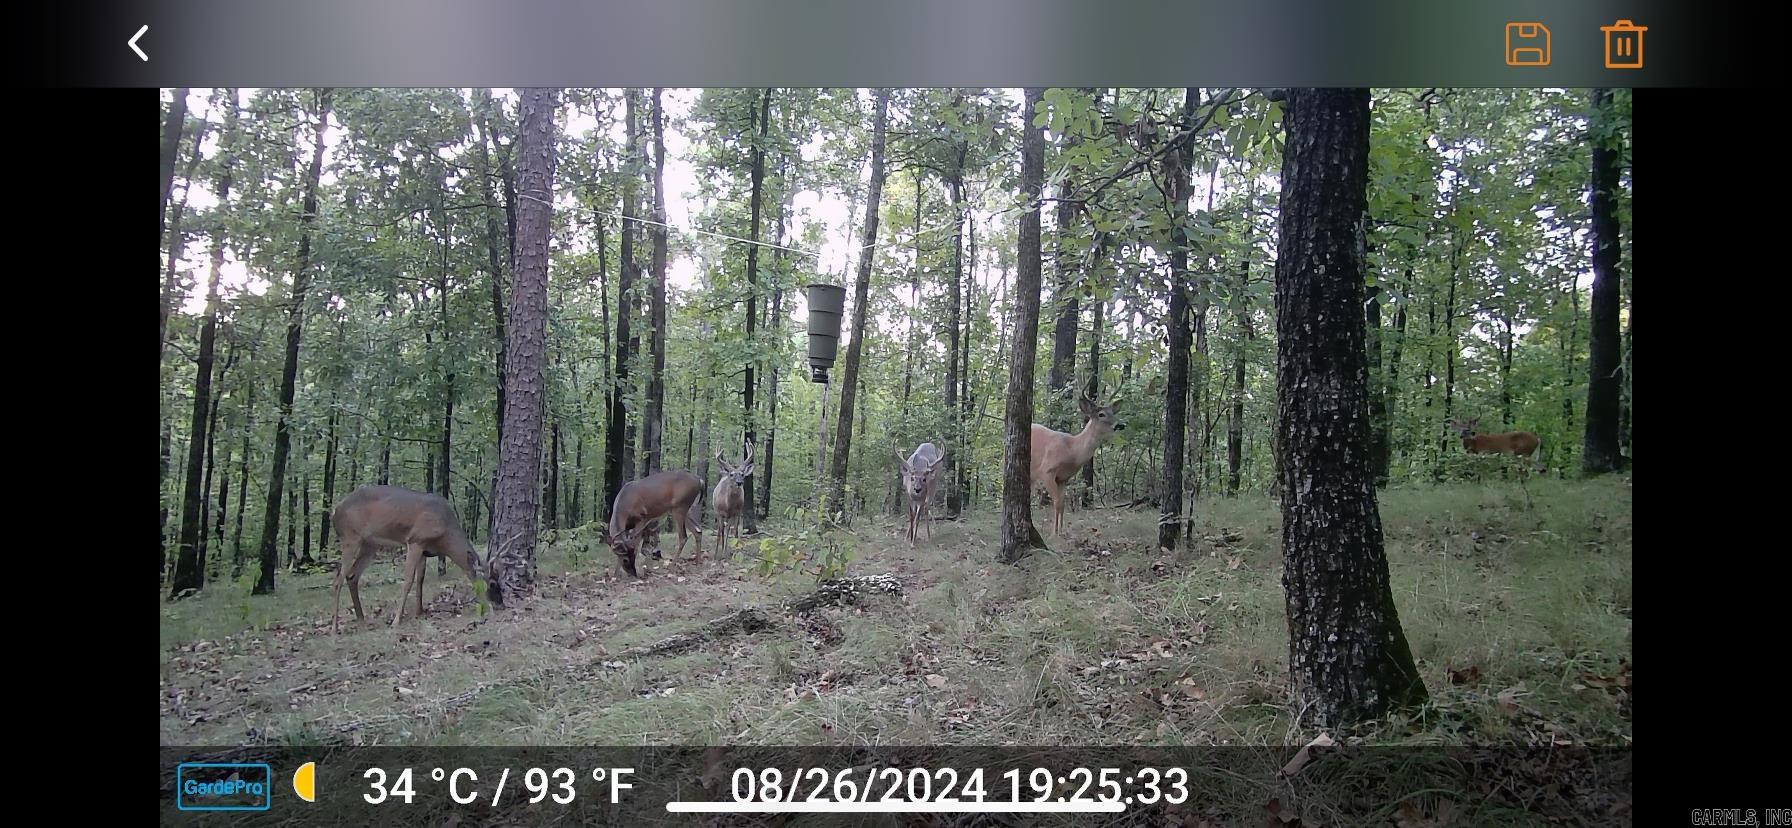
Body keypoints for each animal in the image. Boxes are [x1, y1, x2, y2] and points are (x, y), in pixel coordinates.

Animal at [326, 483, 498, 634]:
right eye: (490, 582)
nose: (495, 605)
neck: (445, 532)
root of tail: (335, 511)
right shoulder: (415, 540)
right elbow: (408, 580)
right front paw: (396, 621)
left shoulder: (424, 551)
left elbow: (420, 580)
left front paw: (419, 613)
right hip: (350, 537)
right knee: (337, 580)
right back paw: (334, 628)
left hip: (370, 544)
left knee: (352, 575)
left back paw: (361, 618)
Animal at [1032, 388, 1125, 537]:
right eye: (1101, 414)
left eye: (1113, 413)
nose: (1120, 425)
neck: (1072, 450)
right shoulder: (1047, 471)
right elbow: (1057, 502)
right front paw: (1054, 533)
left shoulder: (1063, 478)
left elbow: (1062, 504)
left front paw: (1061, 531)